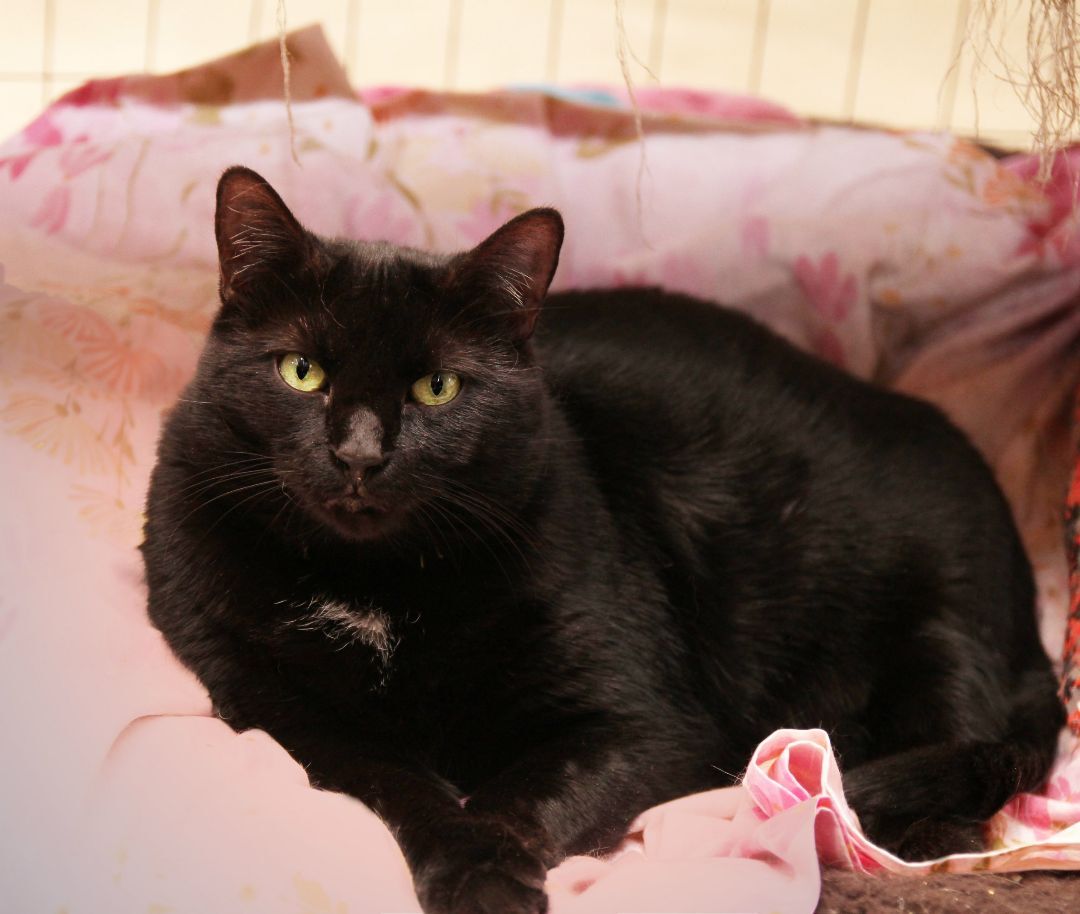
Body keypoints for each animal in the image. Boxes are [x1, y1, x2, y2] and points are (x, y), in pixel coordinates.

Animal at [141, 168, 1062, 911]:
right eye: (303, 372)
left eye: (438, 387)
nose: (361, 454)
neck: (380, 586)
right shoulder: (282, 711)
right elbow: (400, 787)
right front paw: (476, 870)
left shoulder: (644, 724)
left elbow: (529, 791)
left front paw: (493, 876)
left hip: (940, 631)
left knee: (959, 794)